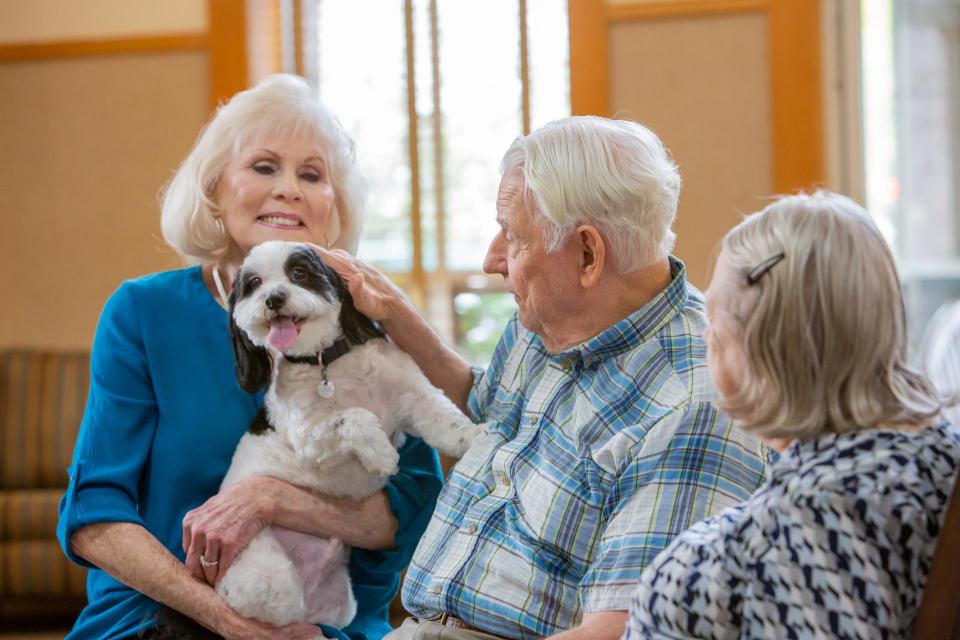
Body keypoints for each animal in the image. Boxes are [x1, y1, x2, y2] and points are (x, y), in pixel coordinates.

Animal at [211, 242, 480, 628]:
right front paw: (381, 454)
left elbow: (447, 422)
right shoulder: (307, 438)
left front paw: (480, 437)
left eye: (299, 274)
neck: (328, 361)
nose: (273, 298)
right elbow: (355, 417)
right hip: (266, 573)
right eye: (254, 284)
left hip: (341, 604)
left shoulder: (411, 394)